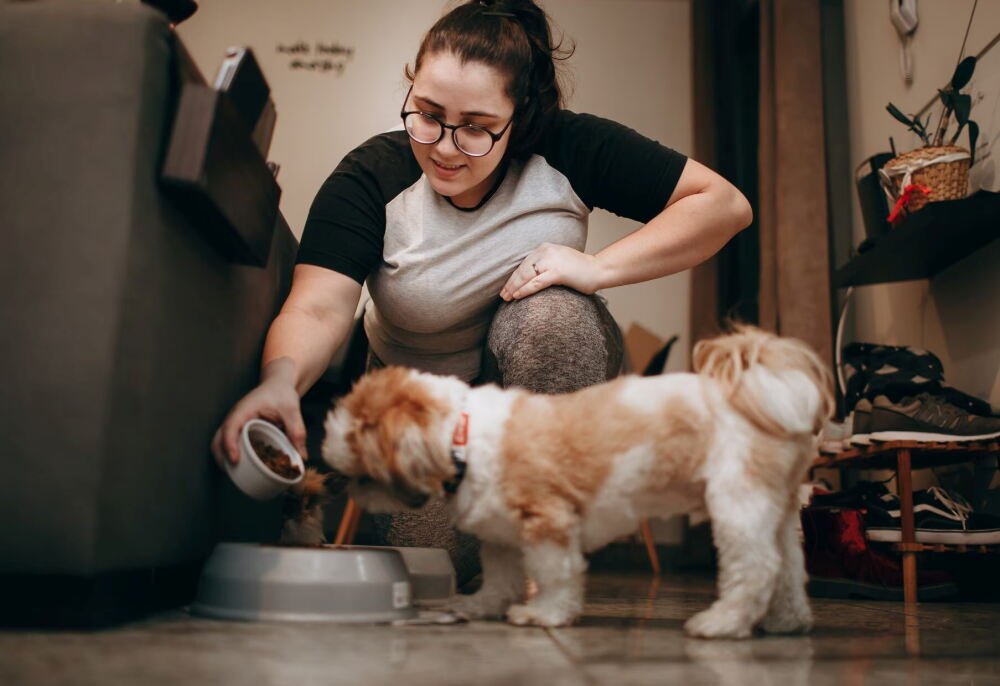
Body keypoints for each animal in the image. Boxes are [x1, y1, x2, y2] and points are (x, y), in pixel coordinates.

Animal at [316, 328, 832, 640]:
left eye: (357, 449)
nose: (338, 480)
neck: (462, 432)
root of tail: (768, 391)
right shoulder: (501, 533)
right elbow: (502, 577)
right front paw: (483, 605)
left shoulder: (548, 521)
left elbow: (555, 574)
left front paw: (542, 614)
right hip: (775, 512)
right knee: (788, 569)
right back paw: (788, 621)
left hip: (737, 503)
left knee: (756, 568)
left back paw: (721, 622)